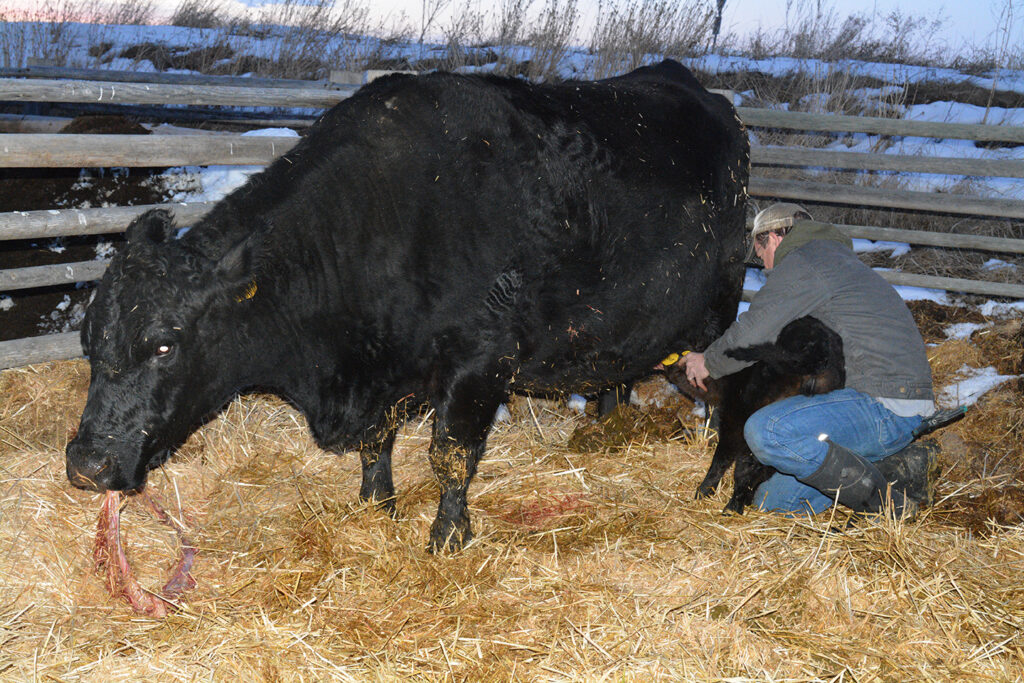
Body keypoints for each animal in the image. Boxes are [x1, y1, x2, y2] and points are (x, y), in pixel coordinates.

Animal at [68, 57, 749, 548]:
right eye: (89, 339)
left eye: (164, 345)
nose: (85, 464)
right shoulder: (382, 371)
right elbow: (378, 445)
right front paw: (377, 506)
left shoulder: (479, 363)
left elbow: (450, 456)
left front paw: (448, 537)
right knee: (615, 376)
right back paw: (603, 426)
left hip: (717, 316)